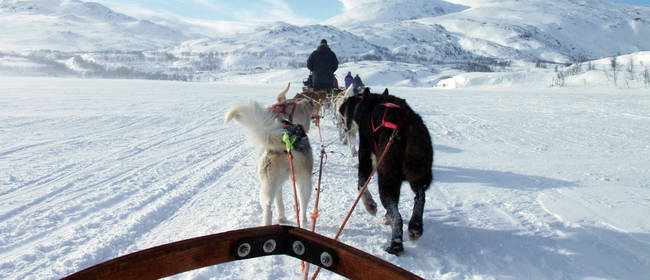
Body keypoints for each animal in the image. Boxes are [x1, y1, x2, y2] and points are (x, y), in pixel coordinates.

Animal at [336, 88, 432, 256]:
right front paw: (386, 217)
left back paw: (395, 244)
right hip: (418, 172)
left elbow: (361, 184)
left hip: (387, 178)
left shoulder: (366, 154)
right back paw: (415, 226)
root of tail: (405, 126)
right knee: (420, 196)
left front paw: (370, 205)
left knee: (398, 217)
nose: (344, 128)